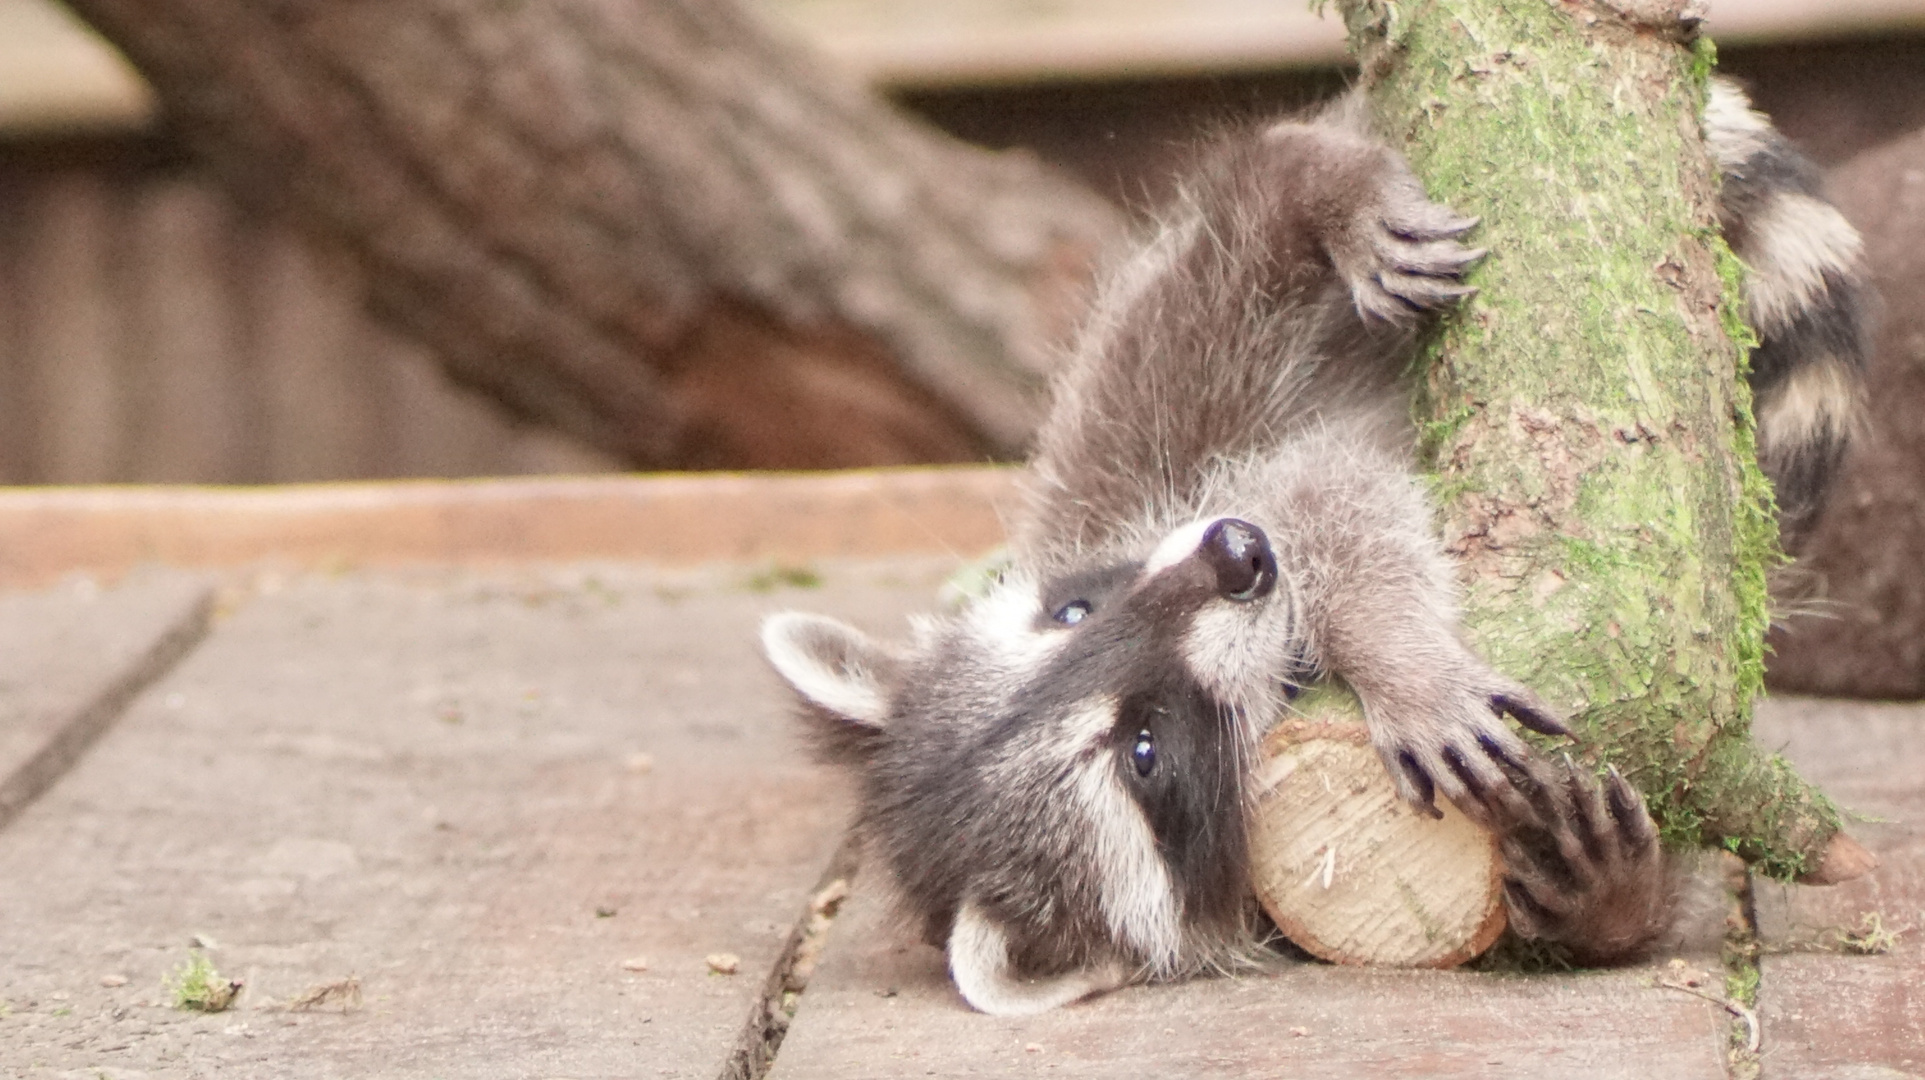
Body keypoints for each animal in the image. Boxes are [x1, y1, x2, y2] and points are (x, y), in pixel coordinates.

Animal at [758, 79, 1871, 1016]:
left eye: (1073, 610)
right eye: (1144, 752)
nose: (1234, 556)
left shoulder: (1152, 491)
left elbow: (1324, 495)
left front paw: (1390, 649)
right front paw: (1606, 897)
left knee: (1230, 255)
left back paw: (1316, 188)